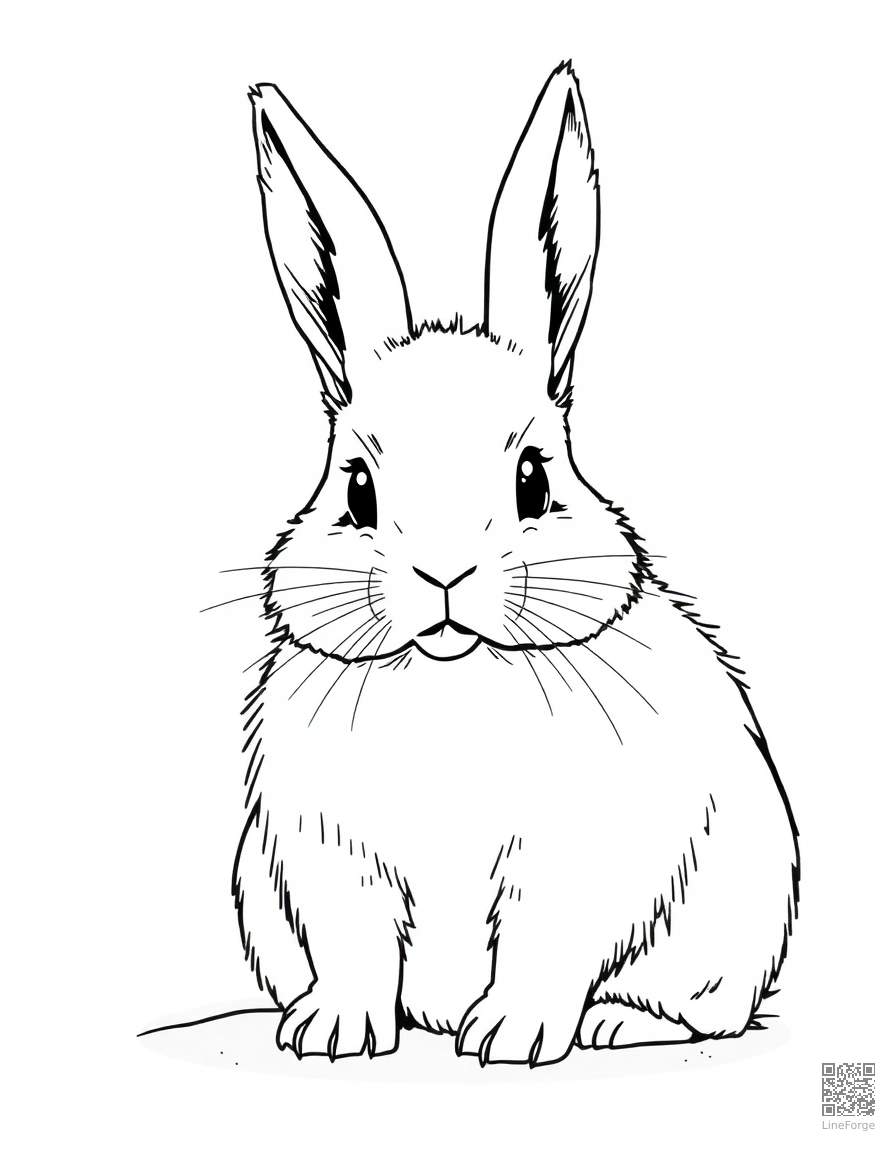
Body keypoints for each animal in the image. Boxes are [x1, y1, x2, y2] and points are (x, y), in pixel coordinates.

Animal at [230, 62, 799, 1067]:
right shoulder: (330, 858)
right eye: (358, 490)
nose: (444, 577)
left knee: (708, 1008)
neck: (453, 678)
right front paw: (332, 1033)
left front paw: (514, 1036)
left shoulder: (572, 860)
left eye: (534, 478)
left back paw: (616, 1023)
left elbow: (547, 941)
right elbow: (355, 947)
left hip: (728, 926)